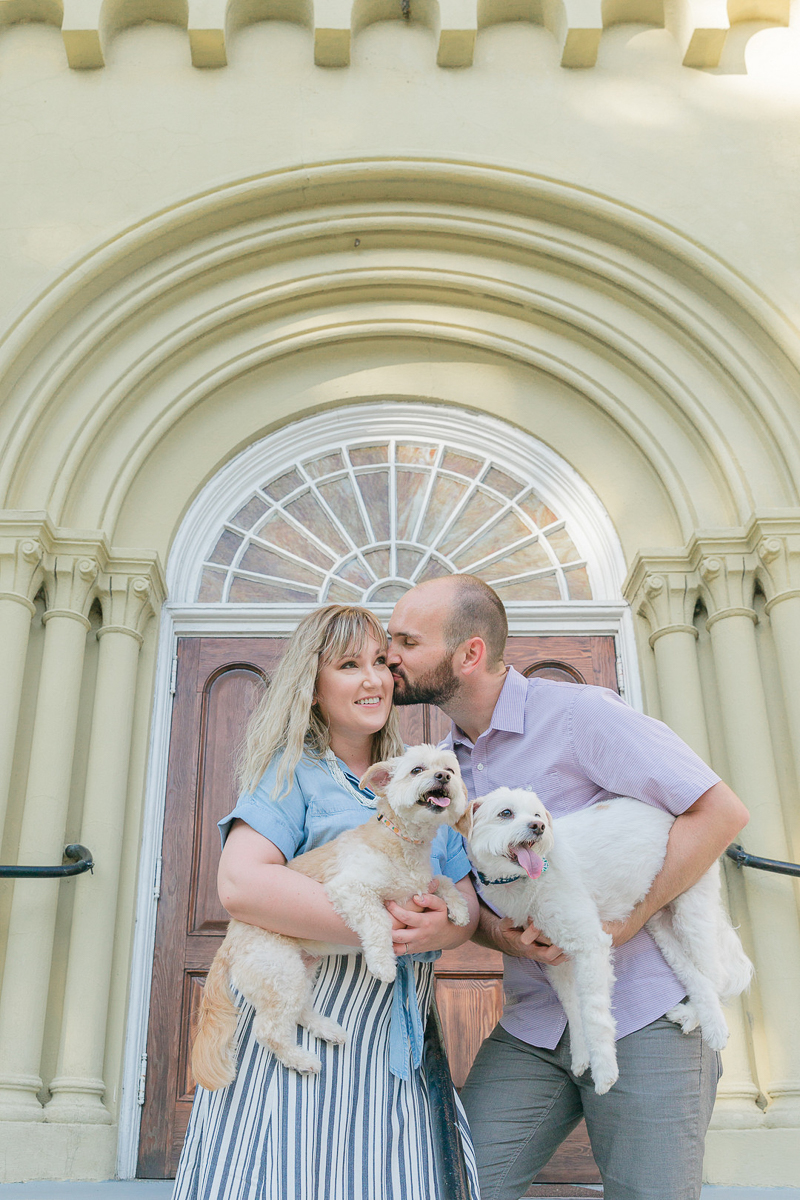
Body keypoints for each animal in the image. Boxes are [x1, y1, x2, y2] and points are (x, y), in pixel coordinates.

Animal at [191, 739, 472, 1089]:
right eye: (417, 769)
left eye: (449, 770)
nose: (442, 777)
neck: (401, 840)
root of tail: (228, 942)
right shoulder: (350, 888)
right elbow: (379, 920)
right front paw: (383, 964)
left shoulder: (421, 886)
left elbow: (445, 881)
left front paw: (459, 910)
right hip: (281, 972)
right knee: (268, 1031)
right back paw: (301, 1060)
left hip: (300, 971)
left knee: (298, 1011)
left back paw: (326, 1029)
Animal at [465, 787, 753, 1099]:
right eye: (505, 813)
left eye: (538, 814)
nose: (538, 827)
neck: (523, 881)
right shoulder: (555, 958)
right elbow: (573, 1008)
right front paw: (581, 1056)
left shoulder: (590, 945)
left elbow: (593, 1013)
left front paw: (604, 1070)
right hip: (660, 923)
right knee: (693, 973)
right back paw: (691, 1016)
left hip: (691, 908)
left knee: (714, 974)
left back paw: (713, 1028)